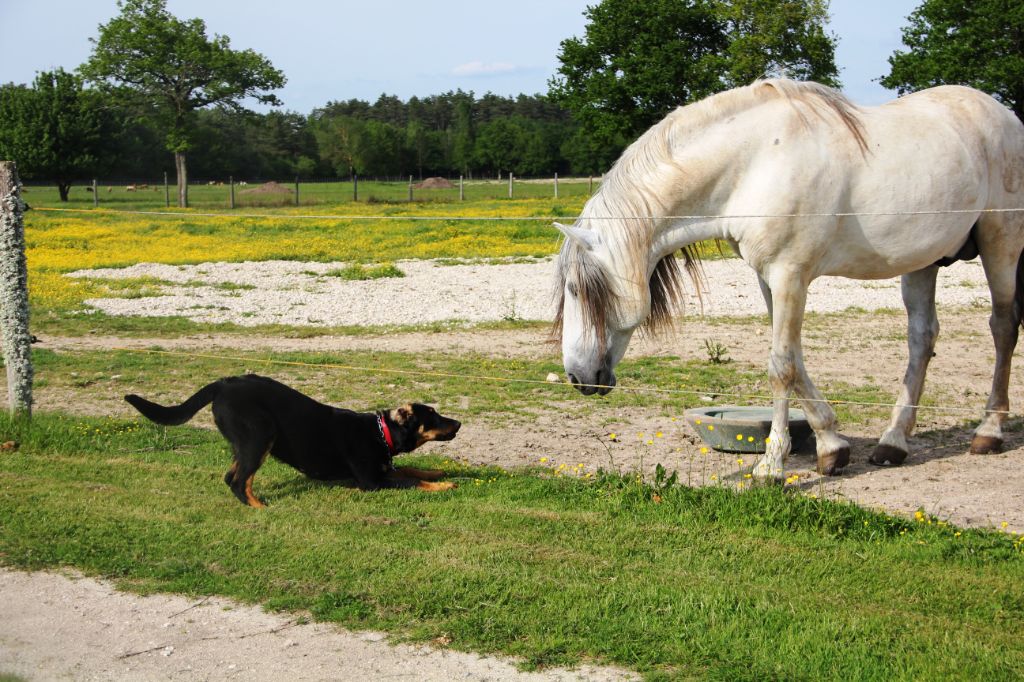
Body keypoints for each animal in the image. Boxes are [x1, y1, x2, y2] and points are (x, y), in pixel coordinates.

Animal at [124, 372, 460, 503]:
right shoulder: (372, 482)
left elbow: (412, 470)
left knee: (230, 476)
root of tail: (222, 384)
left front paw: (436, 472)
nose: (458, 422)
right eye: (434, 415)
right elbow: (410, 481)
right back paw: (258, 508)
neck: (381, 433)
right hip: (259, 435)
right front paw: (443, 485)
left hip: (244, 443)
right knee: (238, 480)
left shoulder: (383, 470)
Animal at [557, 78, 1019, 477]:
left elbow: (780, 367)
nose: (577, 377)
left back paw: (988, 432)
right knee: (922, 338)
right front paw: (832, 447)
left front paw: (771, 468)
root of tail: (1007, 116)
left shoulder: (789, 275)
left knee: (1003, 327)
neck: (755, 162)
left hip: (1001, 246)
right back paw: (893, 443)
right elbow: (795, 361)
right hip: (924, 262)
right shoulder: (771, 279)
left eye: (577, 289)